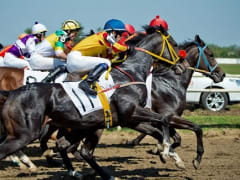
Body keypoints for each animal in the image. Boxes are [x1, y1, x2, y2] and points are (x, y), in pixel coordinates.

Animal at [0, 26, 184, 179]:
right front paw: (165, 151)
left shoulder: (130, 119)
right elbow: (163, 120)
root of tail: (12, 93)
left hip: (82, 126)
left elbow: (159, 128)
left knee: (71, 147)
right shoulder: (131, 112)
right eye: (175, 44)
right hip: (26, 133)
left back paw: (79, 172)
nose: (181, 67)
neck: (130, 72)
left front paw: (172, 156)